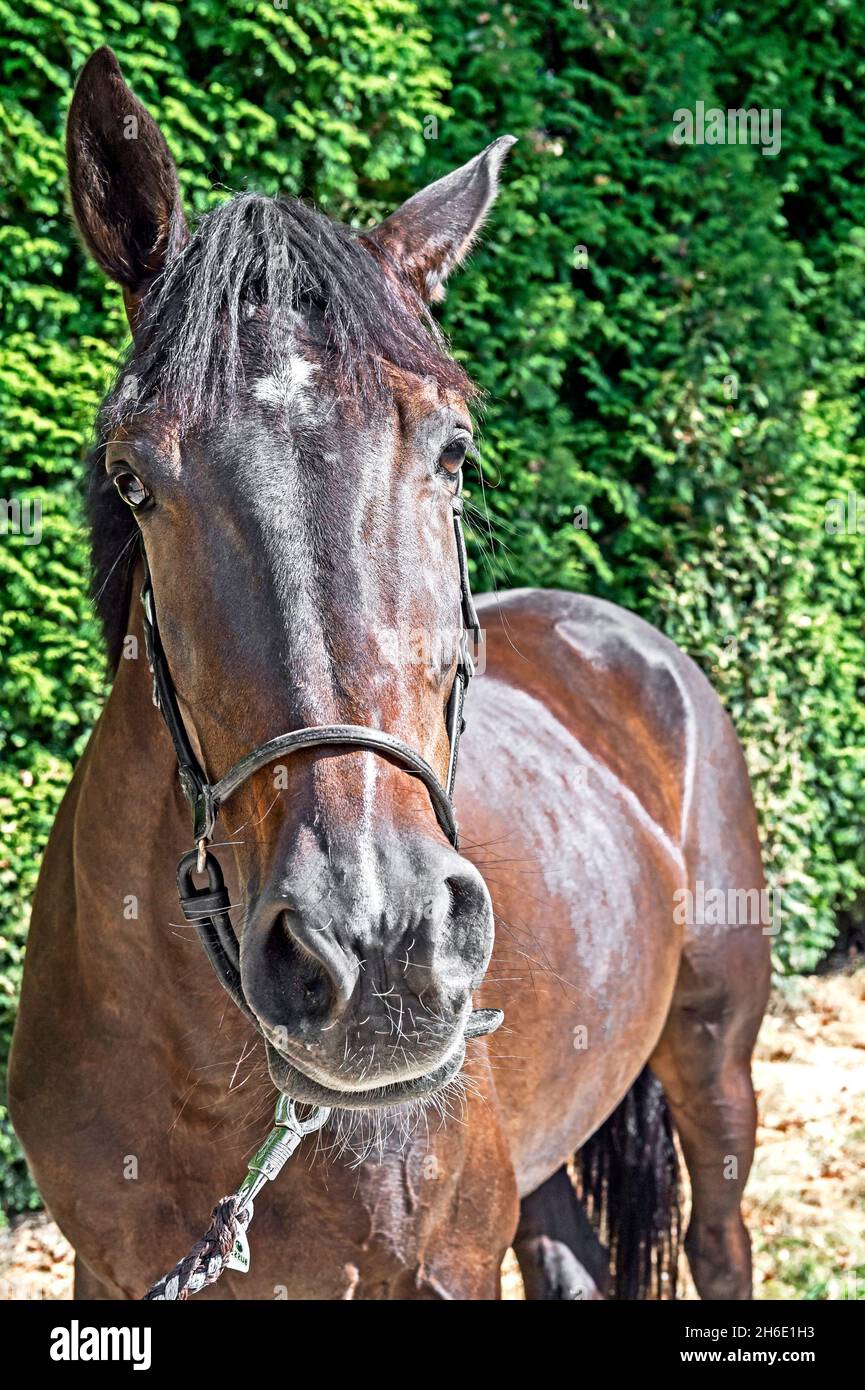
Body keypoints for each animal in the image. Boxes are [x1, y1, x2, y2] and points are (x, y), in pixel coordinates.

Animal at [10, 46, 773, 1301]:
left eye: (452, 450)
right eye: (133, 478)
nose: (376, 947)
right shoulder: (105, 1272)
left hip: (714, 1056)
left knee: (719, 1236)